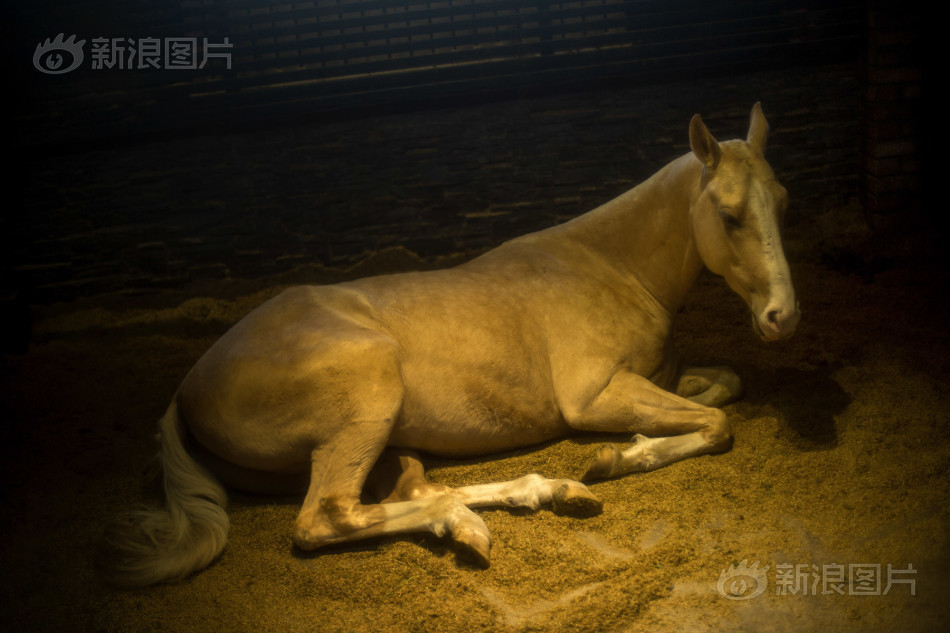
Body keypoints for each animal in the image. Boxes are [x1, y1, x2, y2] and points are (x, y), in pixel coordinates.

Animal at [100, 103, 799, 587]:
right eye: (729, 215)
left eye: (784, 203)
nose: (782, 317)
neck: (612, 266)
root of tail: (187, 388)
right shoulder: (597, 396)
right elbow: (717, 423)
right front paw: (615, 458)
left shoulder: (658, 378)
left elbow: (725, 389)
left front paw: (617, 455)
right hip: (368, 401)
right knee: (329, 516)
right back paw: (495, 516)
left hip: (385, 438)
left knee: (410, 491)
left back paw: (537, 496)